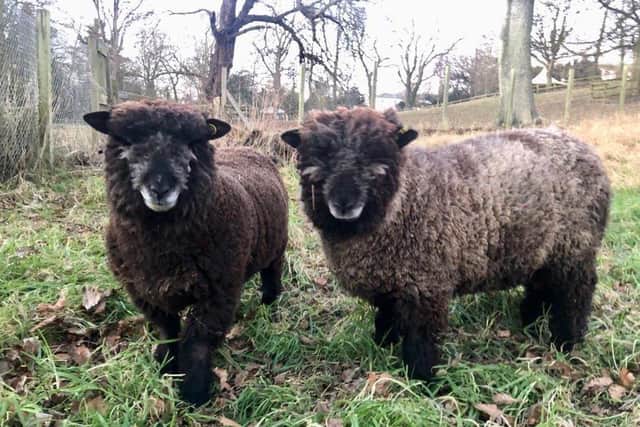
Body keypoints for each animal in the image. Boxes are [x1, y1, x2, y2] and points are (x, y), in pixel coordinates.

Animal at [83, 100, 289, 405]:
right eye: (126, 140)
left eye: (192, 142)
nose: (160, 187)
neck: (161, 253)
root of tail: (248, 149)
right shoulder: (144, 292)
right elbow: (167, 330)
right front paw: (166, 364)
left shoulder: (219, 292)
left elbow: (197, 343)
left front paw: (194, 392)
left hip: (276, 248)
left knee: (271, 273)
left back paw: (268, 301)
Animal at [281, 107, 610, 381]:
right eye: (318, 157)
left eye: (377, 158)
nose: (344, 202)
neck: (404, 201)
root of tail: (583, 146)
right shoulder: (390, 282)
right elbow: (386, 317)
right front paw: (383, 345)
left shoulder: (428, 285)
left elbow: (422, 338)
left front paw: (422, 380)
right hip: (543, 249)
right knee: (544, 284)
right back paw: (528, 320)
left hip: (575, 246)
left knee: (576, 291)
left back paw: (567, 340)